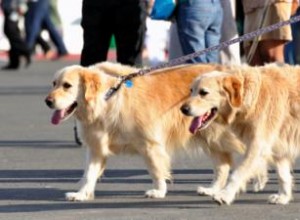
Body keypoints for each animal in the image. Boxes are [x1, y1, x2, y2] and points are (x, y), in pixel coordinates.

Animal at [44, 61, 264, 201]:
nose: (47, 101)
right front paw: (81, 194)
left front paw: (159, 191)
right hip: (208, 135)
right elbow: (89, 174)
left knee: (252, 154)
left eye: (67, 86)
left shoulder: (150, 144)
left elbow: (156, 169)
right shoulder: (96, 148)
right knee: (224, 165)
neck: (107, 101)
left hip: (221, 134)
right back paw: (212, 190)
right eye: (53, 83)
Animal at [180, 63, 300, 205]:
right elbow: (283, 175)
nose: (183, 109)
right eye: (191, 90)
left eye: (203, 92)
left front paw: (225, 195)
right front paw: (283, 197)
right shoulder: (278, 145)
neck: (251, 96)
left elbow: (238, 172)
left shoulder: (258, 146)